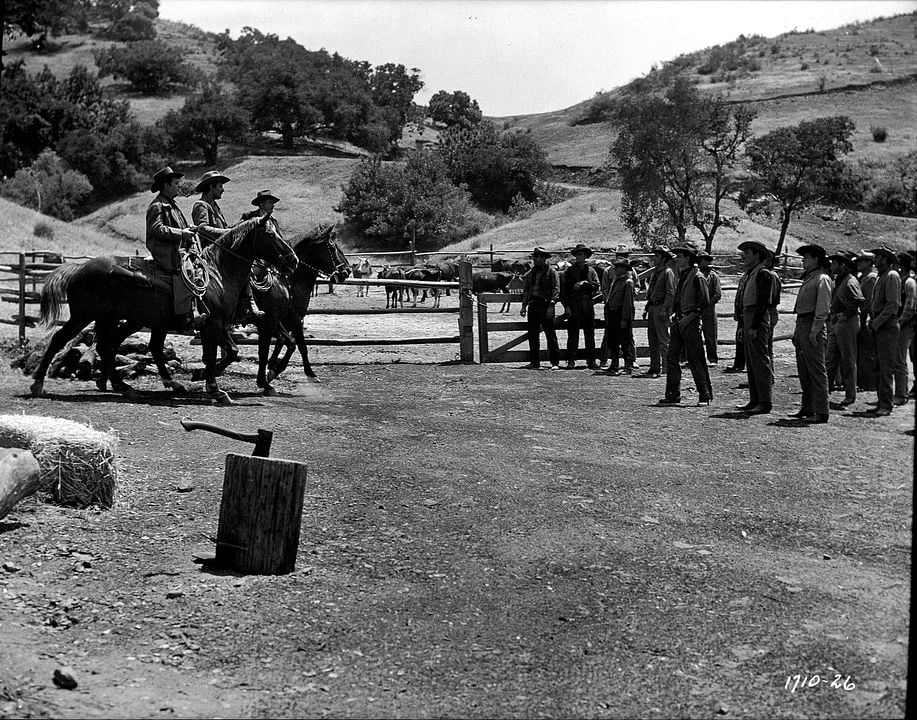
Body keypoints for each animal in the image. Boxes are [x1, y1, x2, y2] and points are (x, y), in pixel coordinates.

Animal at [30, 214, 296, 404]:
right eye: (270, 234)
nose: (292, 260)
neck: (218, 272)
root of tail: (78, 268)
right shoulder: (216, 323)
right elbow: (224, 353)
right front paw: (215, 388)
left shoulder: (222, 324)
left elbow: (230, 352)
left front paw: (206, 379)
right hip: (85, 315)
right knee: (61, 339)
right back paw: (38, 383)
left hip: (117, 318)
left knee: (112, 346)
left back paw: (126, 386)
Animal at [245, 224, 352, 394]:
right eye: (332, 247)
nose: (346, 271)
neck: (289, 281)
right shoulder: (292, 319)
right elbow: (300, 345)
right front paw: (309, 373)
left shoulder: (282, 321)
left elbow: (285, 343)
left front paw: (272, 366)